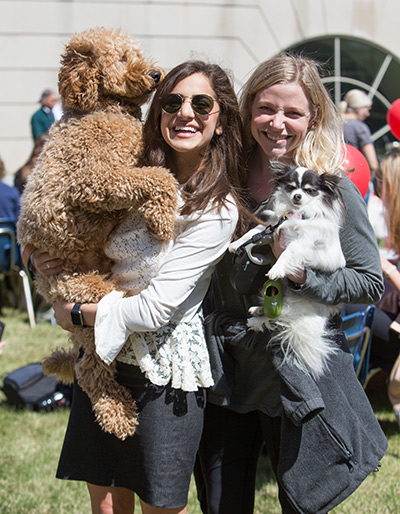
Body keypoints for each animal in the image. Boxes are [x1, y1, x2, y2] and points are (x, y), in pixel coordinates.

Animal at [17, 27, 177, 436]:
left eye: (134, 52)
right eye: (120, 58)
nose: (155, 73)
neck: (103, 109)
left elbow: (156, 172)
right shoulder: (94, 179)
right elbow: (157, 177)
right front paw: (162, 217)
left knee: (87, 363)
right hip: (80, 289)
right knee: (90, 367)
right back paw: (117, 413)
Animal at [230, 161, 346, 376]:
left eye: (309, 190)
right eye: (291, 187)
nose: (297, 196)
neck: (296, 213)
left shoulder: (302, 243)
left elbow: (287, 254)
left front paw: (277, 269)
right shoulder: (273, 227)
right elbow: (253, 233)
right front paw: (235, 244)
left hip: (295, 305)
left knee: (280, 318)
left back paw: (257, 320)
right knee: (275, 312)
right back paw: (257, 310)